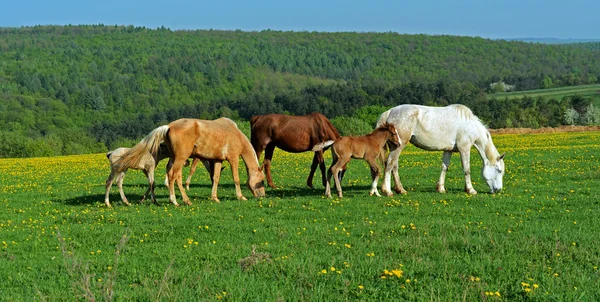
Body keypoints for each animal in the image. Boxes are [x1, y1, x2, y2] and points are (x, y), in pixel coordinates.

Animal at [115, 117, 264, 205]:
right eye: (262, 181)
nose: (262, 195)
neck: (235, 133)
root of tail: (168, 126)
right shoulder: (233, 159)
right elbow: (236, 179)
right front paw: (241, 196)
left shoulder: (217, 160)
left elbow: (215, 178)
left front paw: (215, 197)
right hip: (180, 158)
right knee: (172, 176)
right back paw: (175, 201)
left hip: (176, 159)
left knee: (177, 177)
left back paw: (184, 199)